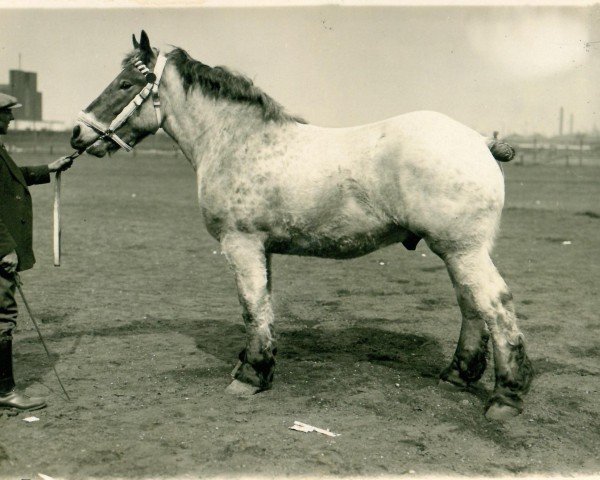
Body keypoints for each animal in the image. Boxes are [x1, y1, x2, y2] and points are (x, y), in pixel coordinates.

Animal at [71, 31, 536, 420]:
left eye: (125, 84)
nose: (77, 133)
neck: (236, 141)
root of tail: (480, 141)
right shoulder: (260, 249)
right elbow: (263, 306)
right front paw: (252, 364)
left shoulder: (240, 244)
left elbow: (252, 306)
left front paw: (250, 377)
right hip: (461, 251)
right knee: (471, 305)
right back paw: (458, 375)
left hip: (462, 250)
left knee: (495, 306)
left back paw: (505, 397)